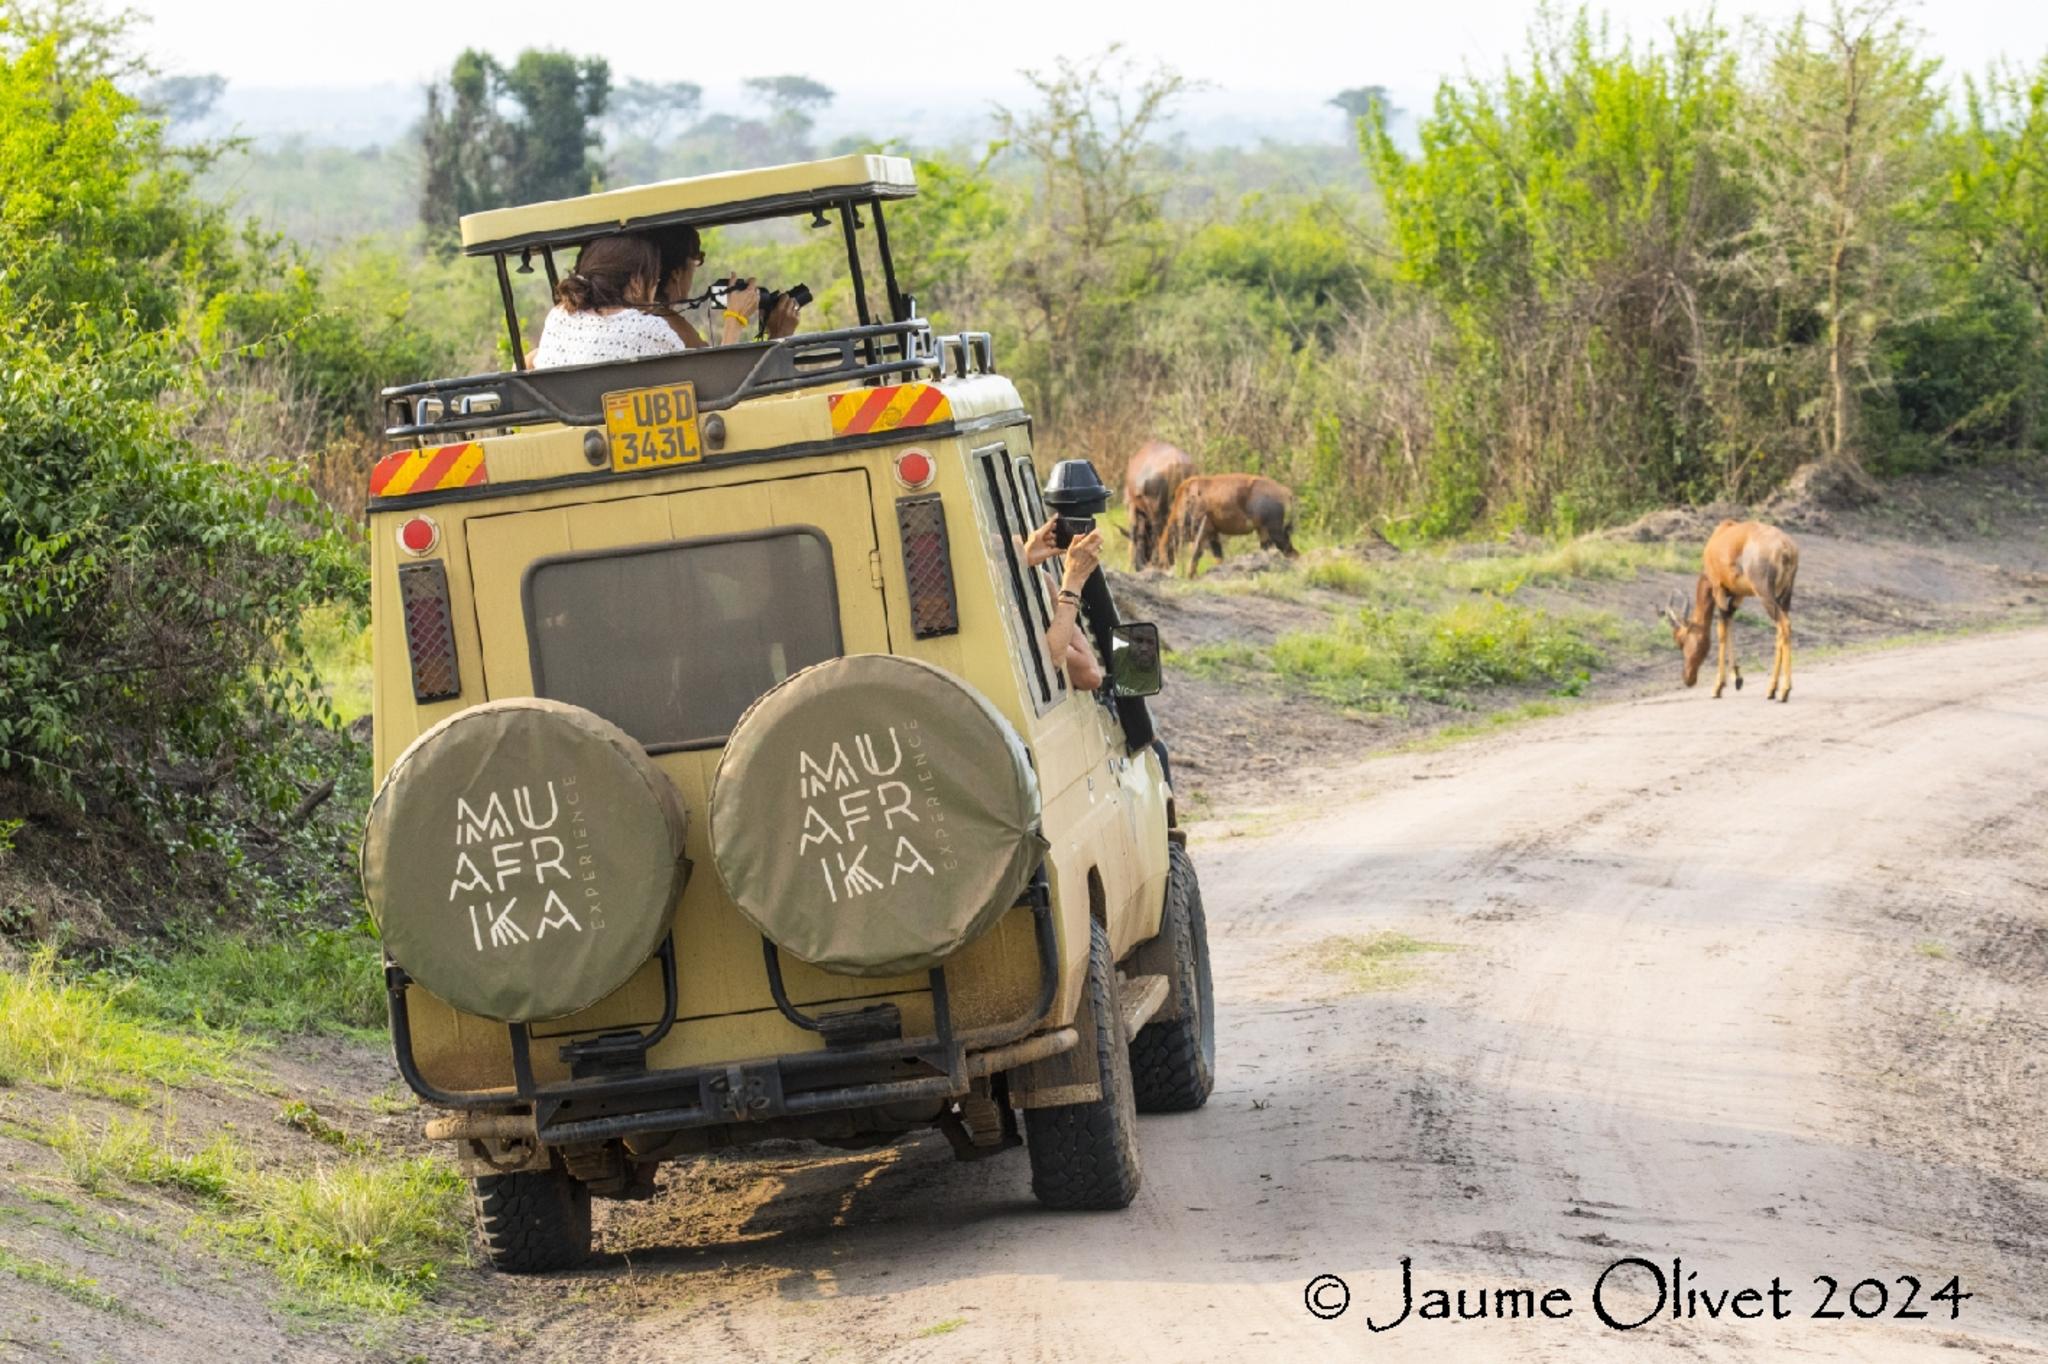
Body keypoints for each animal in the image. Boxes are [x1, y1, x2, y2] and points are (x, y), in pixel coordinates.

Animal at [1671, 516, 1802, 696]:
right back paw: (1772, 689)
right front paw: (1737, 678)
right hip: (1785, 595)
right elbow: (1729, 619)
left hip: (1764, 594)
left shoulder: (1717, 588)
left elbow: (1721, 629)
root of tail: (1785, 547)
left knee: (1784, 625)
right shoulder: (1739, 594)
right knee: (1781, 631)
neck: (1720, 534)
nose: (1687, 679)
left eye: (1681, 641)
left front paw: (1718, 686)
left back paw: (1783, 691)